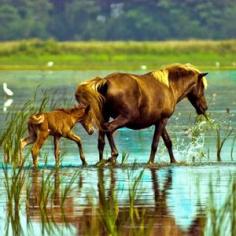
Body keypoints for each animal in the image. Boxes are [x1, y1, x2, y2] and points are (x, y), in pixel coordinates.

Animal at [75, 63, 208, 165]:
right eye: (202, 86)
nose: (204, 107)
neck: (169, 87)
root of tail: (105, 81)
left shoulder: (159, 121)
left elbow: (168, 142)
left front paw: (174, 161)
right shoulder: (163, 120)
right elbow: (155, 144)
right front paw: (150, 162)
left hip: (104, 116)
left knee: (101, 141)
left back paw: (101, 161)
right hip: (125, 118)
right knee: (109, 129)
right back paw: (113, 155)